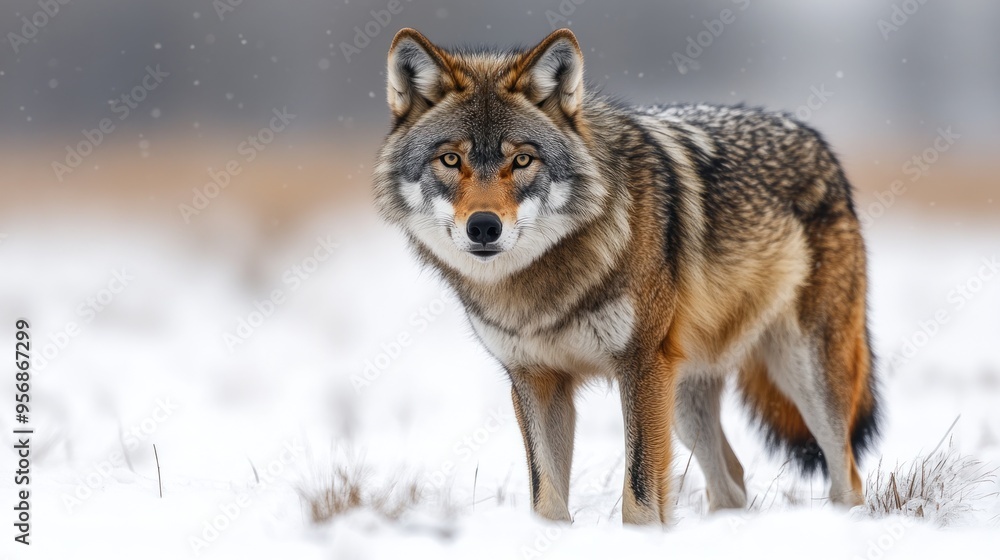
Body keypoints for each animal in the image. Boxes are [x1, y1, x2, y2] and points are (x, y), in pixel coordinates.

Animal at [373, 28, 879, 525]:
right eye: (450, 160)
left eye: (522, 161)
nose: (483, 227)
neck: (542, 287)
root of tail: (815, 139)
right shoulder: (535, 380)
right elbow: (546, 502)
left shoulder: (640, 366)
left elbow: (638, 497)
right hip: (685, 400)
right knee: (732, 480)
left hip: (801, 374)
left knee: (846, 474)